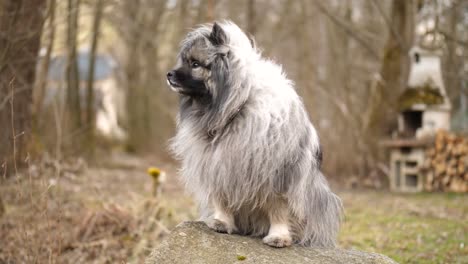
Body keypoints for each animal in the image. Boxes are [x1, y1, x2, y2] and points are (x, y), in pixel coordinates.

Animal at [166, 20, 342, 248]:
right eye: (185, 61)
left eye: (195, 64)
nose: (169, 74)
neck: (236, 107)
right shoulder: (217, 165)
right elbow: (221, 199)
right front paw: (222, 222)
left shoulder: (276, 173)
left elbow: (278, 209)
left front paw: (279, 236)